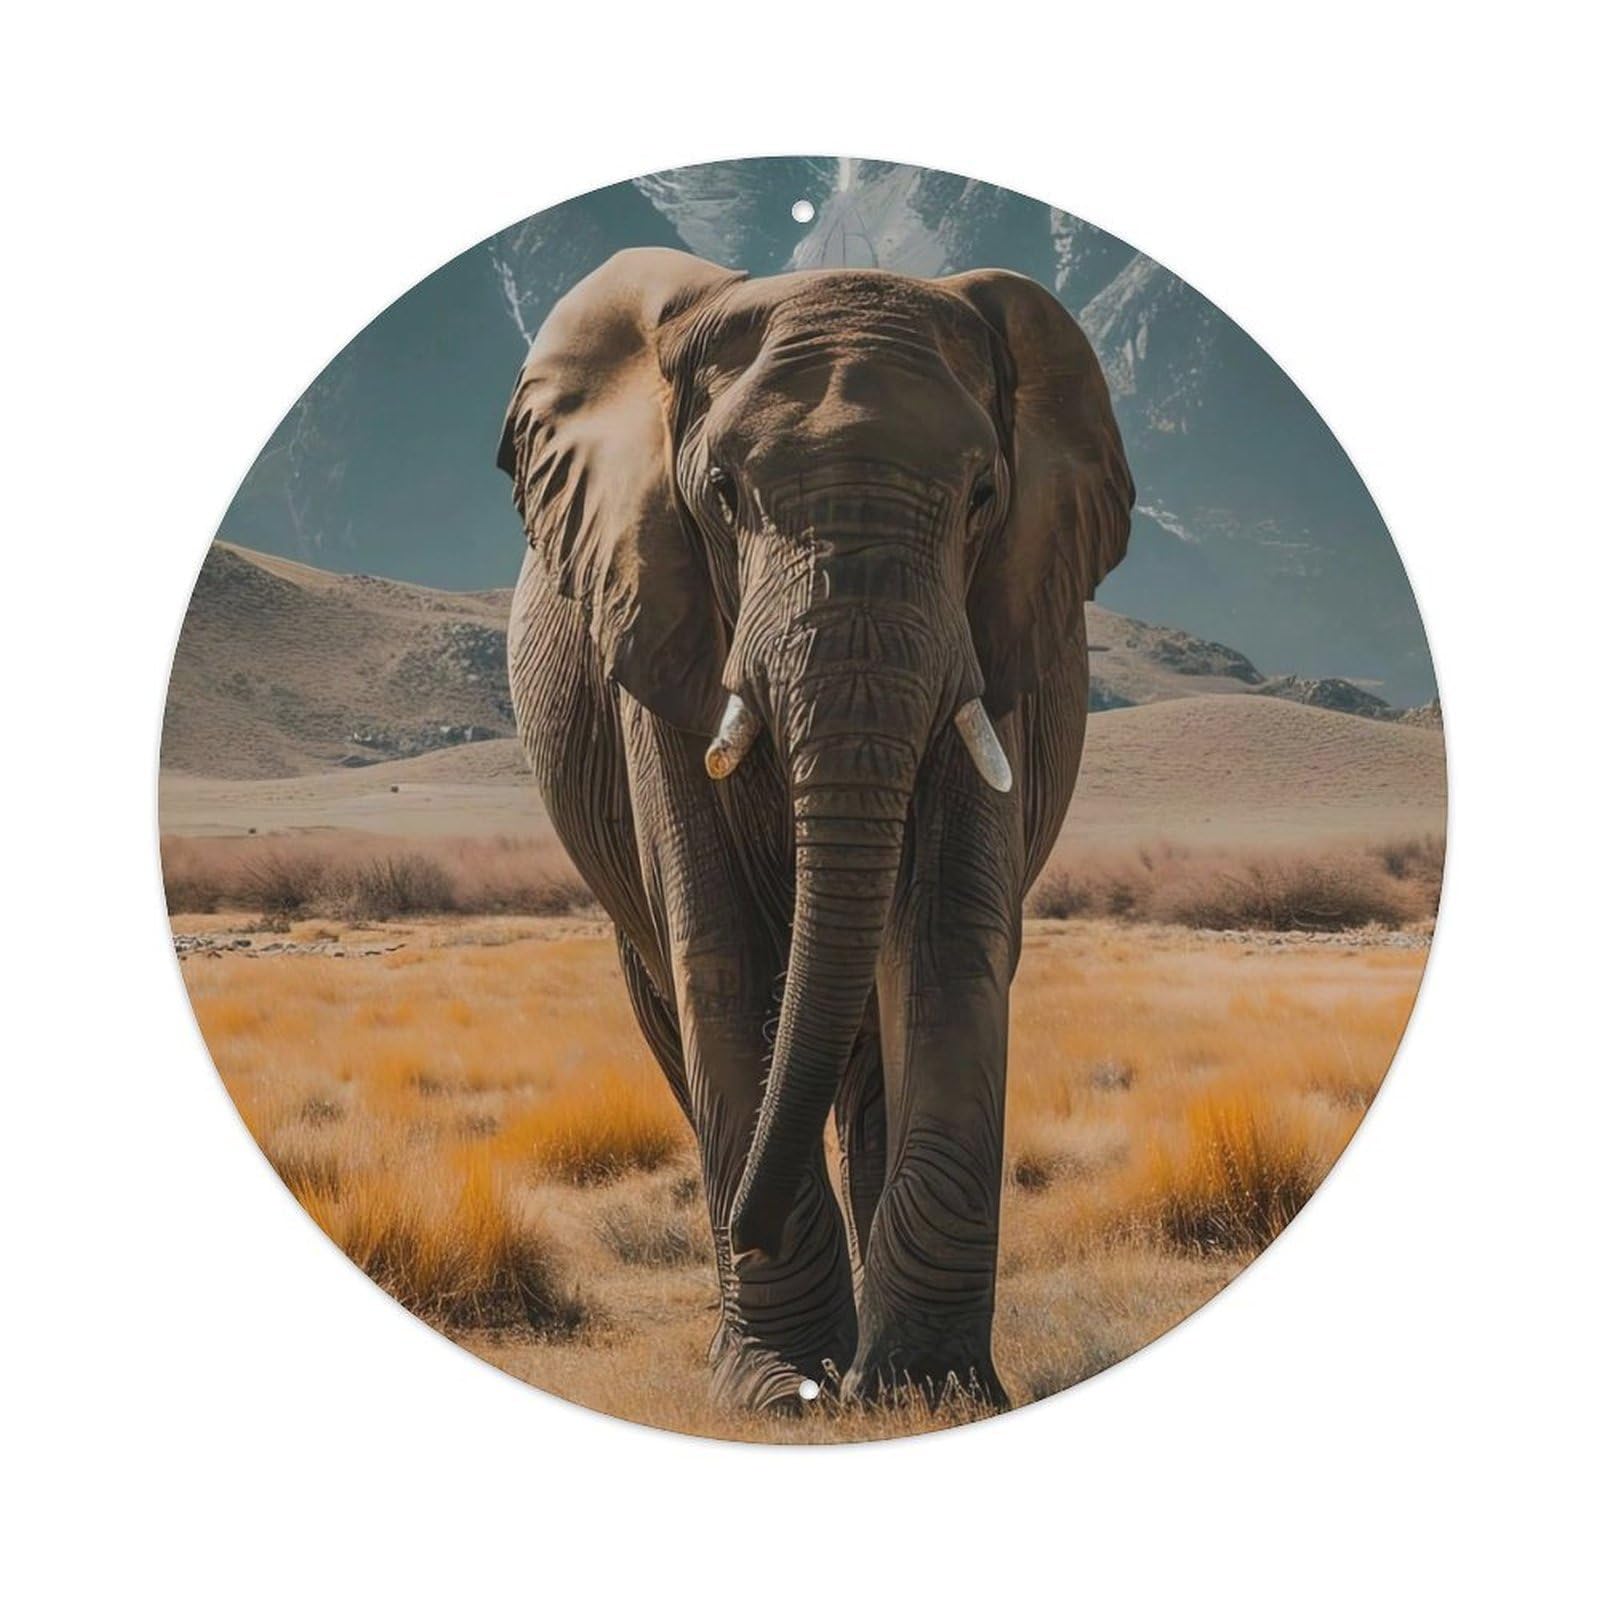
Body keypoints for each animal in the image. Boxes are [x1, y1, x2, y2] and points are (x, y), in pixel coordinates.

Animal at [497, 247, 1132, 1413]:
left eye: (983, 495)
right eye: (719, 493)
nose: (747, 1223)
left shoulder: (996, 632)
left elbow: (947, 935)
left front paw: (925, 1389)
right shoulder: (656, 613)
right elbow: (721, 953)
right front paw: (777, 1389)